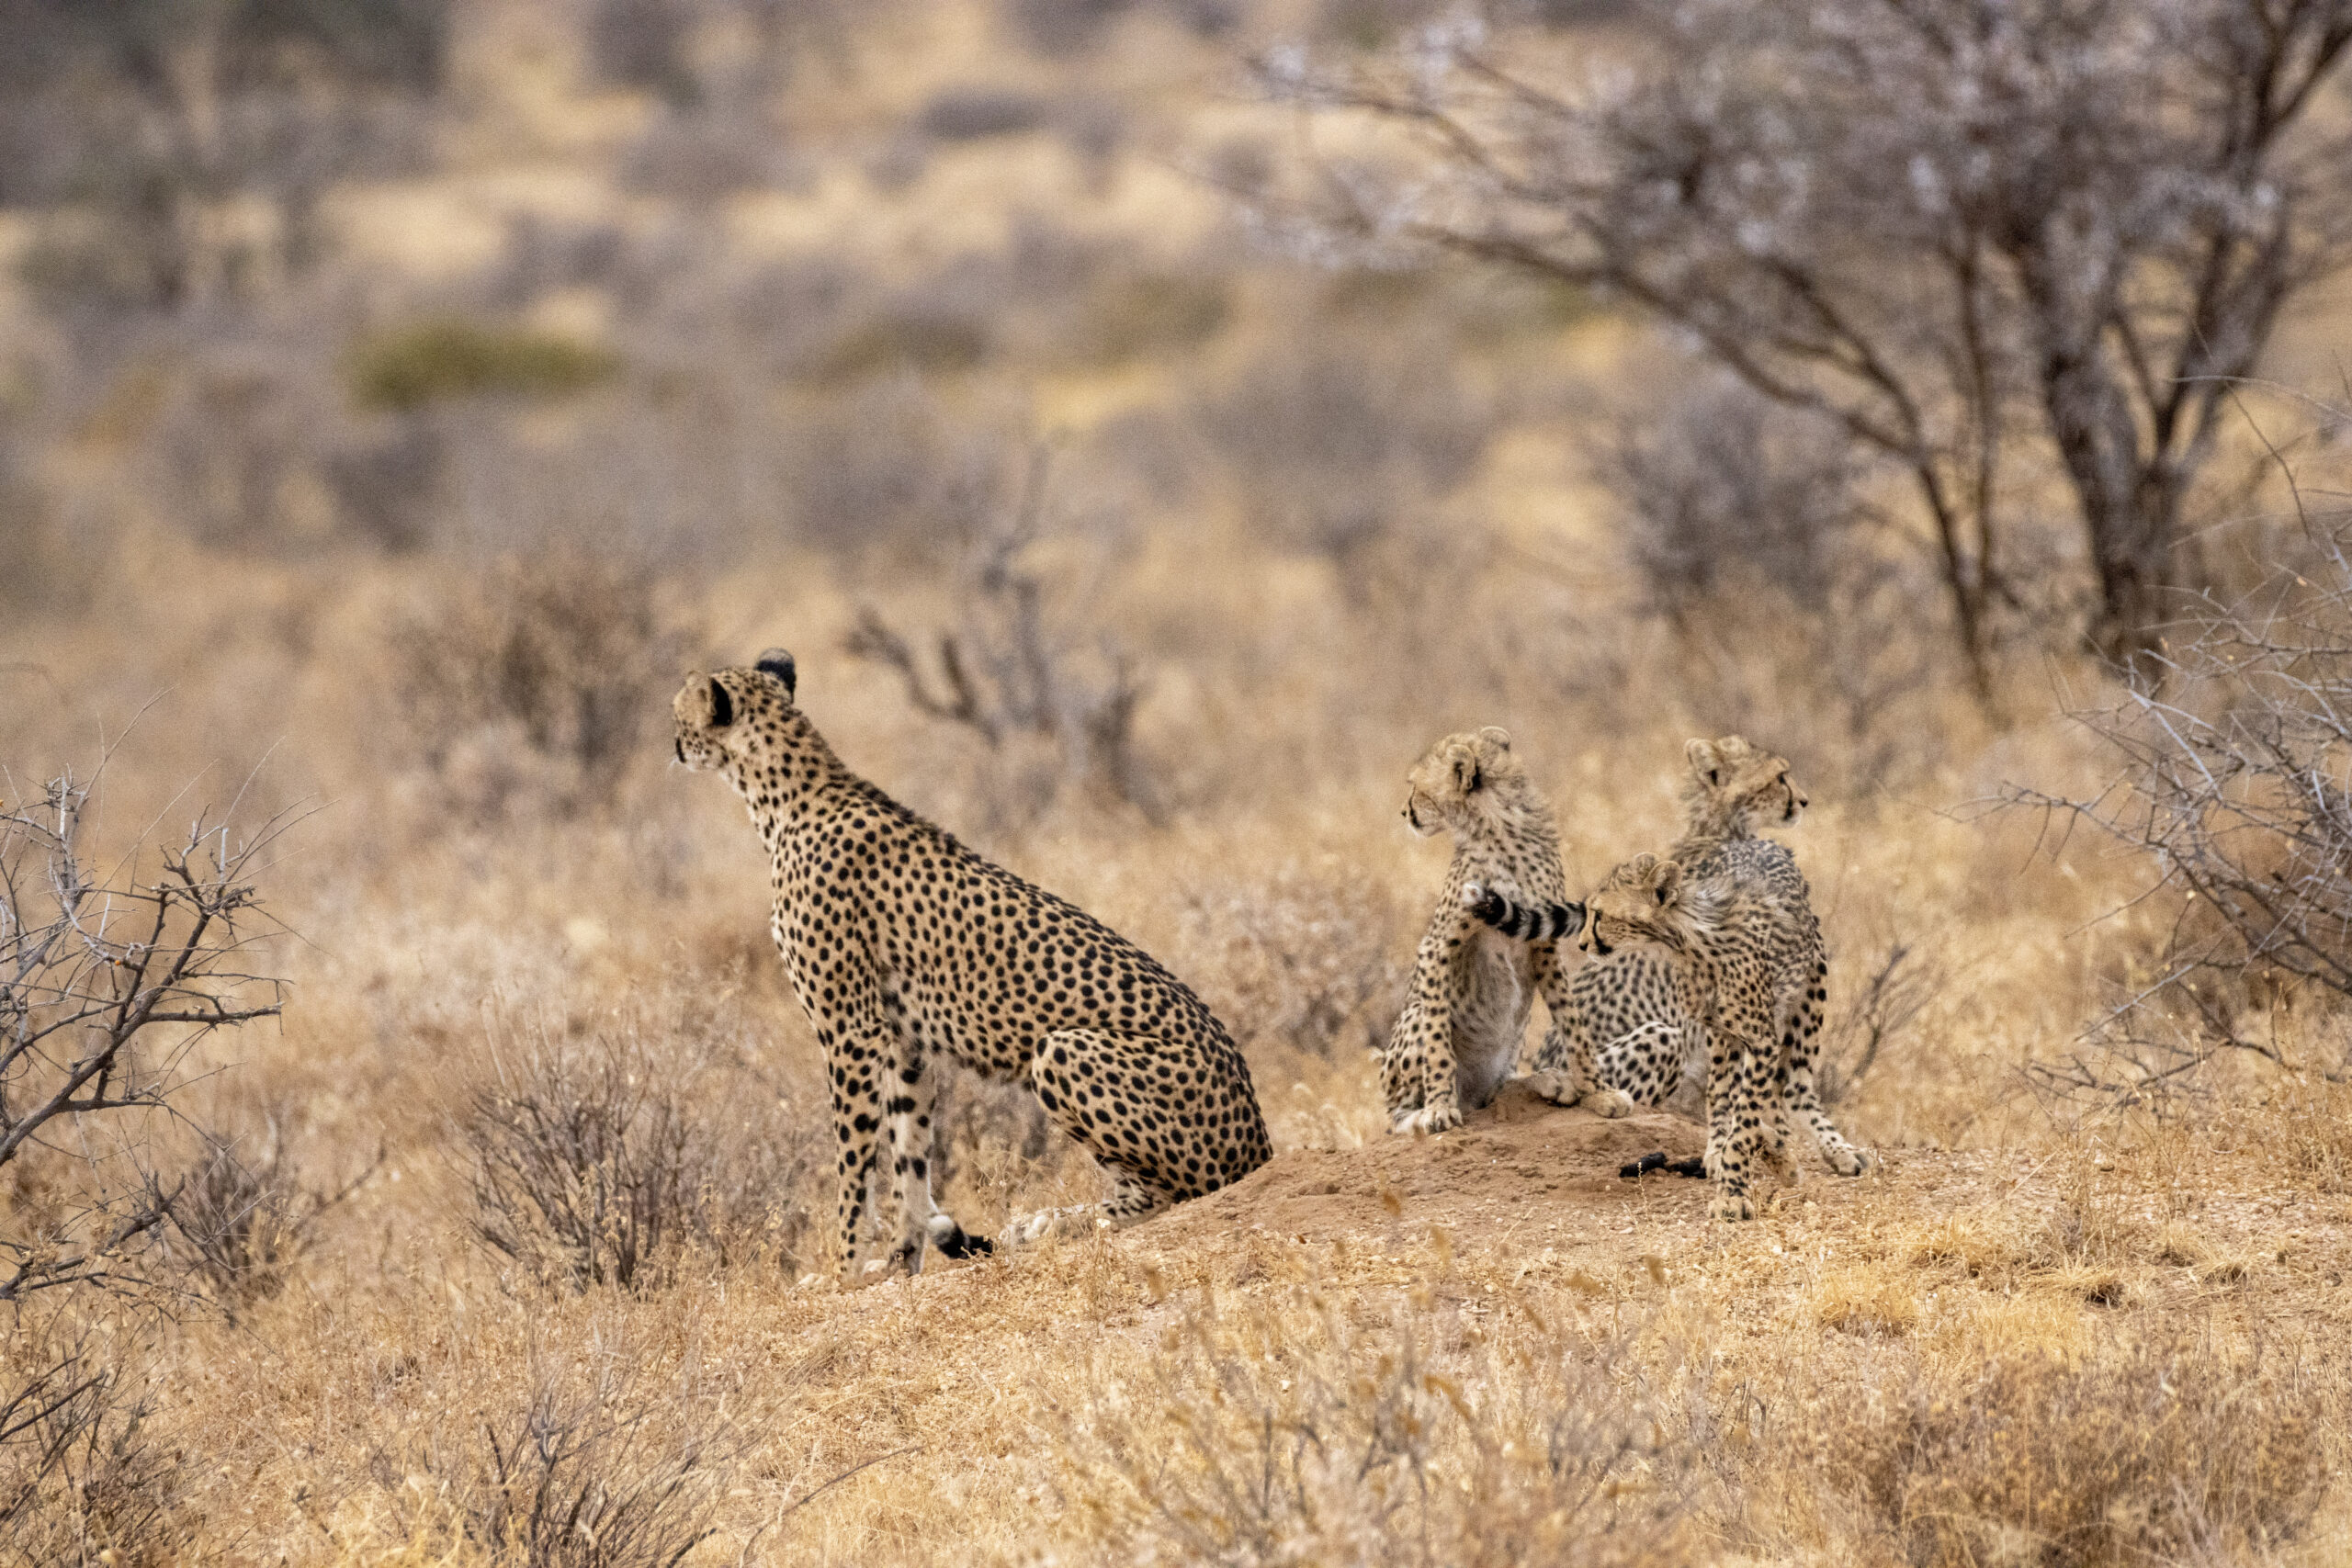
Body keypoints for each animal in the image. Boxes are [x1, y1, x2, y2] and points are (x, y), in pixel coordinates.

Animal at [673, 649, 1279, 1279]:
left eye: (678, 712)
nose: (674, 744)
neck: (787, 796)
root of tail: (1260, 1138)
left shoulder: (851, 1034)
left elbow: (853, 1164)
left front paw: (841, 1272)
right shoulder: (904, 1042)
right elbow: (909, 1157)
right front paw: (901, 1261)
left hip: (1062, 1051)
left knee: (1174, 1194)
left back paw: (1051, 1226)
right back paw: (1039, 1225)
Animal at [1374, 728, 1636, 1133]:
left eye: (1416, 786)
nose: (1405, 812)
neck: (1497, 827)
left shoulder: (1543, 942)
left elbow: (1573, 1024)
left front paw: (1597, 1091)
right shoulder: (1438, 945)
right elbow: (1437, 1043)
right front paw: (1439, 1107)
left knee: (1501, 1087)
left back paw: (1550, 1080)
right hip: (1411, 1027)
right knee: (1396, 1116)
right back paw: (1422, 1112)